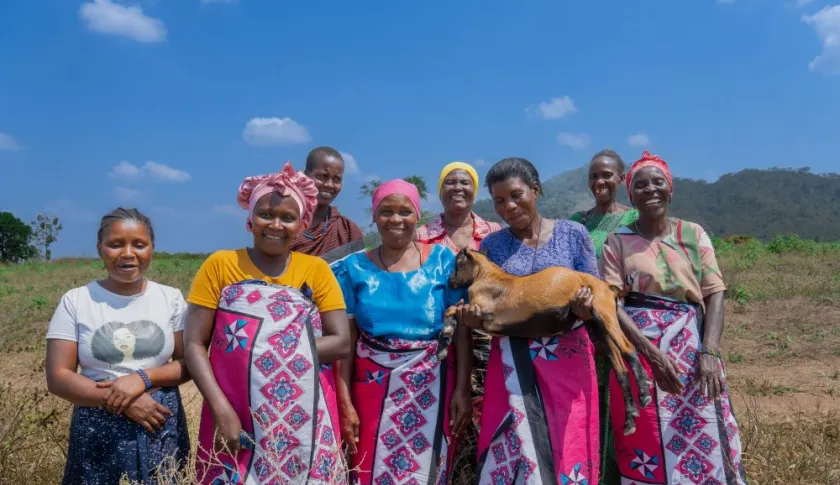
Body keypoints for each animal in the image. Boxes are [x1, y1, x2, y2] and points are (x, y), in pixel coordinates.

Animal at [436, 248, 652, 432]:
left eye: (458, 263)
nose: (450, 281)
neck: (489, 277)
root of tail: (606, 286)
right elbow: (453, 312)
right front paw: (445, 340)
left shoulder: (484, 311)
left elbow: (451, 309)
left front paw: (443, 341)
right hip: (598, 327)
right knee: (620, 368)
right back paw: (630, 418)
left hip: (603, 310)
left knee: (628, 347)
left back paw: (644, 393)